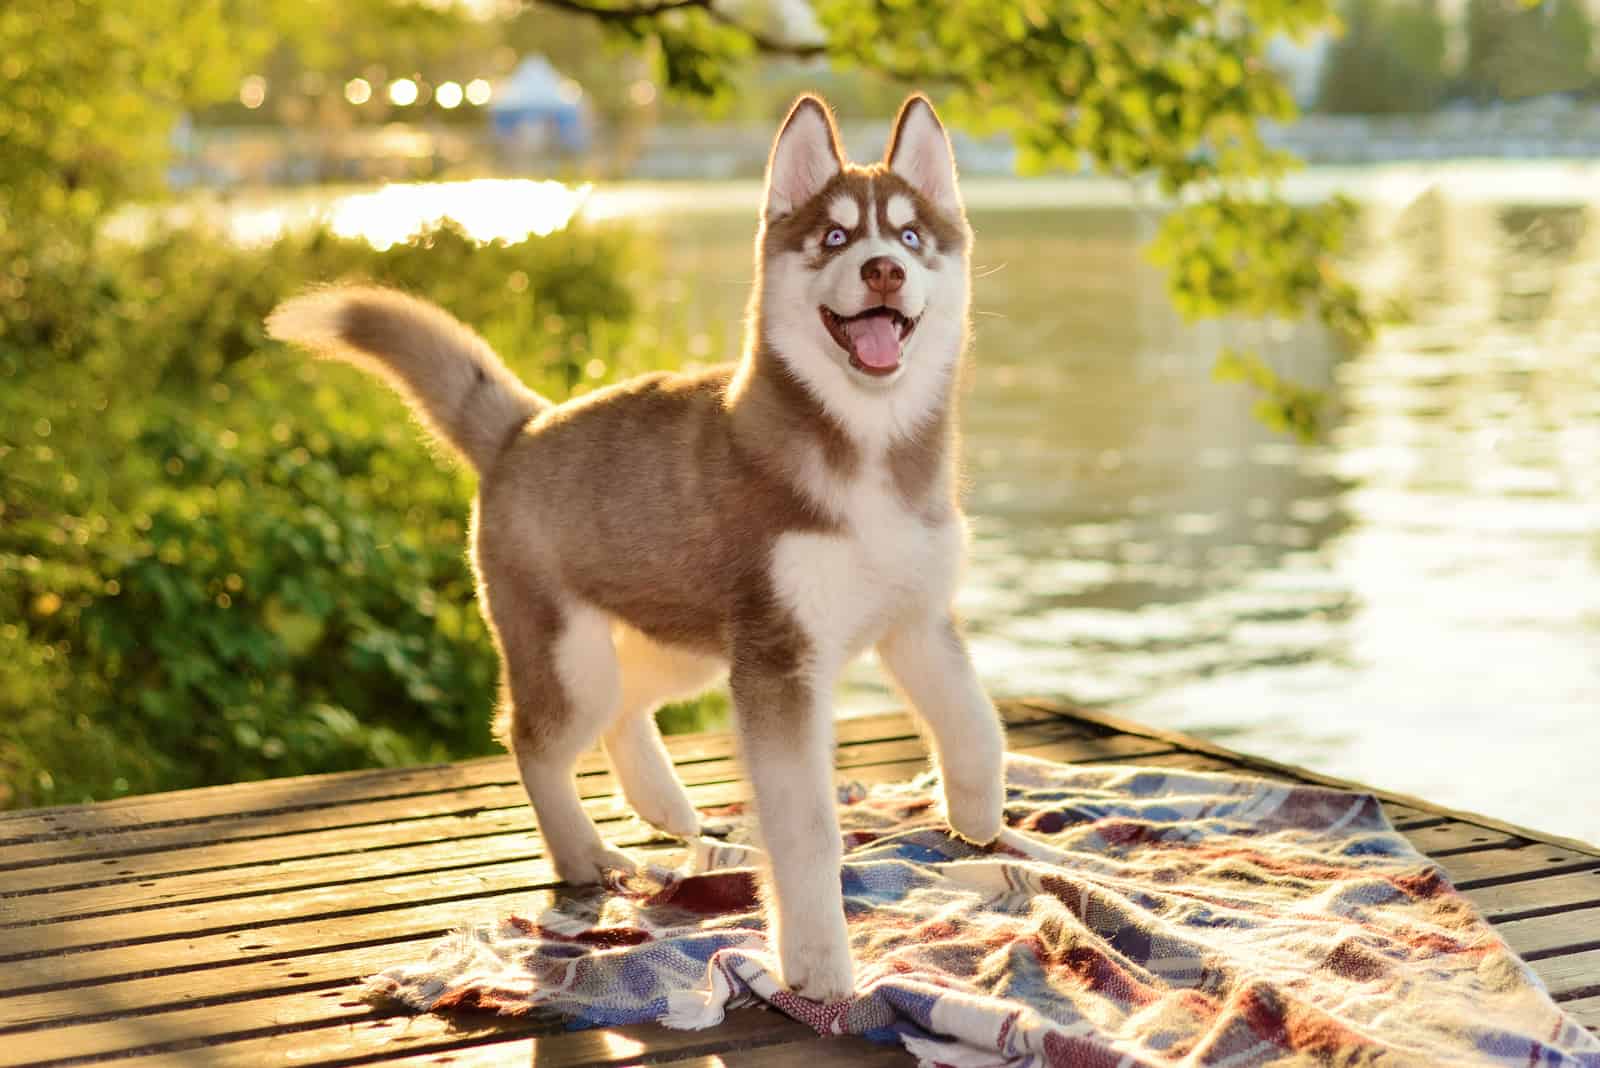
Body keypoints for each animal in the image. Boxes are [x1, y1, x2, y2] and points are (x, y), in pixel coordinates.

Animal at [268, 93, 1004, 1004]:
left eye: (908, 235)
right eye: (835, 237)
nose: (882, 273)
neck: (867, 441)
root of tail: (524, 425)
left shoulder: (915, 618)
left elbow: (977, 720)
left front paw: (976, 810)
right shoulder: (779, 662)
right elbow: (806, 831)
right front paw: (819, 965)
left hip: (684, 638)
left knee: (626, 705)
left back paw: (663, 804)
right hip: (574, 654)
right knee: (533, 738)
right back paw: (581, 850)